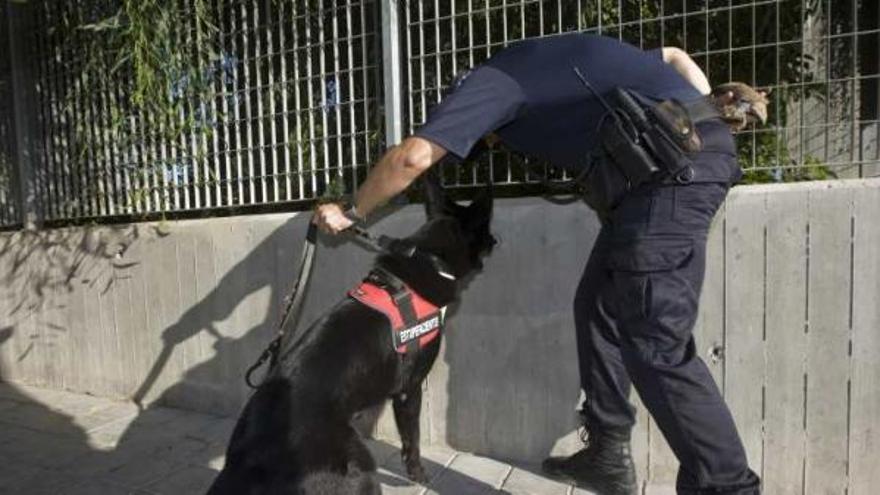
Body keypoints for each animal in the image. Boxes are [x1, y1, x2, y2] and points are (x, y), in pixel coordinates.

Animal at [207, 179, 496, 495]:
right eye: (485, 227)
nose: (496, 241)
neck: (430, 258)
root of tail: (249, 459)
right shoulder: (409, 388)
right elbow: (413, 439)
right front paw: (417, 474)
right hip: (361, 465)